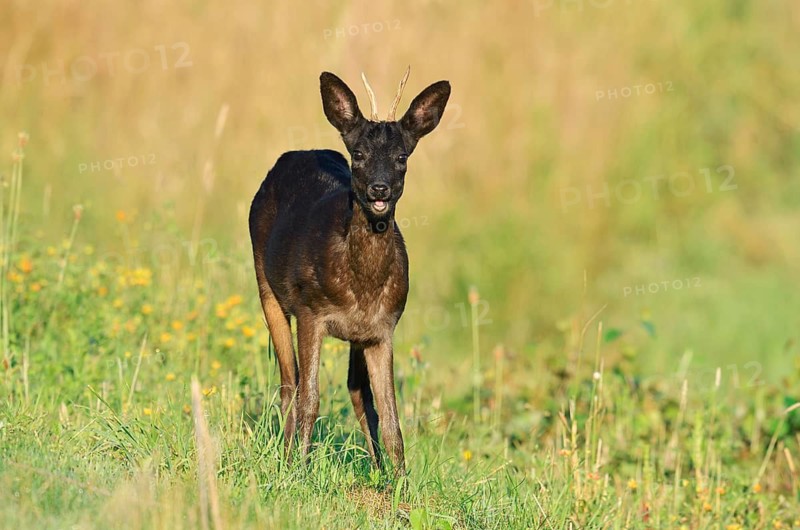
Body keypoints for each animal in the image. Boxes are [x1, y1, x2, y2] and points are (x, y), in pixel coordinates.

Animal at [248, 68, 450, 475]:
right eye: (358, 154)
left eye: (402, 156)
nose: (379, 189)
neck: (361, 285)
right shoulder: (311, 311)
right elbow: (310, 397)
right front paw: (299, 470)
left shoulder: (383, 327)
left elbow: (389, 416)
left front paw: (399, 481)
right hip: (266, 287)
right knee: (289, 382)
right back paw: (287, 456)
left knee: (357, 392)